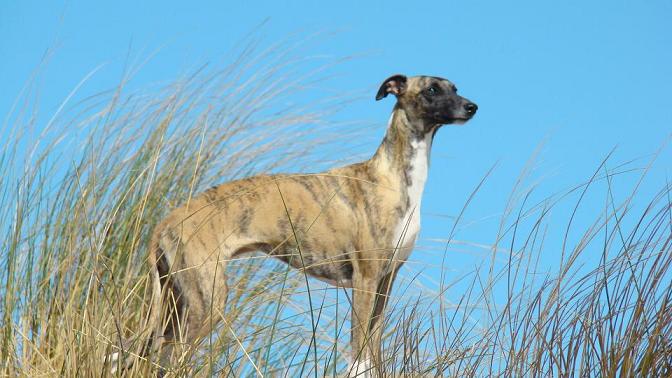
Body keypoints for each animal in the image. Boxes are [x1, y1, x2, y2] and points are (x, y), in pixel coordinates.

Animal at [140, 74, 478, 376]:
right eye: (432, 89)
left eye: (455, 88)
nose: (472, 107)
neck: (391, 177)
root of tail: (165, 222)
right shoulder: (365, 279)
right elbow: (358, 353)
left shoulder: (386, 281)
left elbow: (374, 350)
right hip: (207, 300)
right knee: (173, 356)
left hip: (175, 299)